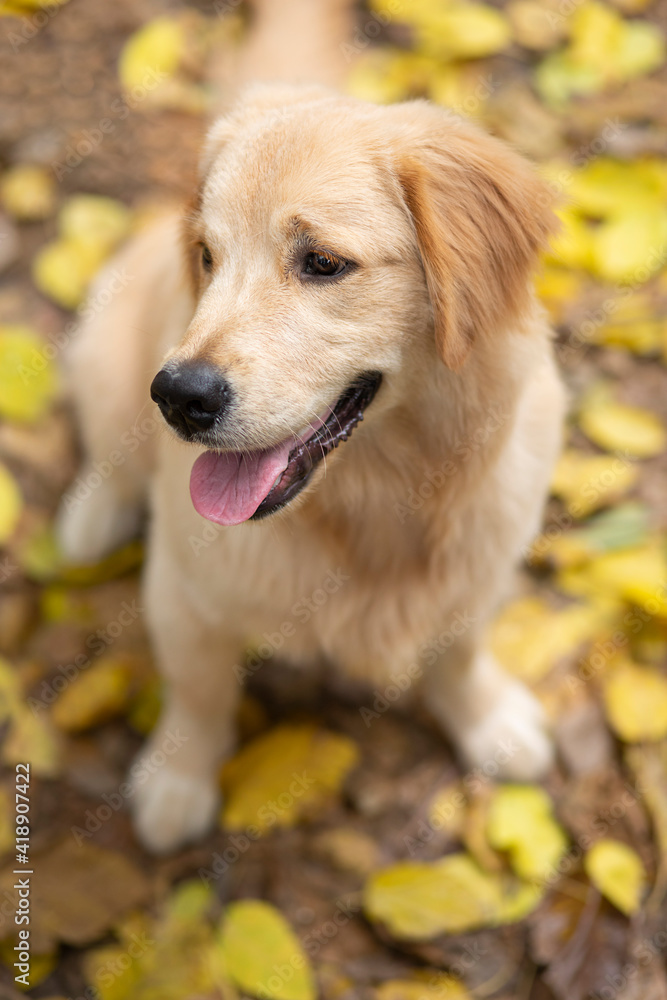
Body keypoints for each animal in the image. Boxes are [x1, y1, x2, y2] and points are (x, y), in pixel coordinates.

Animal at [57, 76, 568, 852]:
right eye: (207, 255)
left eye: (323, 263)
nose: (178, 397)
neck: (375, 499)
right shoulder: (183, 590)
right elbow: (198, 694)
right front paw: (178, 781)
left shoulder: (476, 571)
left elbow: (459, 650)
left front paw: (488, 720)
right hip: (109, 355)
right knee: (110, 447)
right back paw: (91, 516)